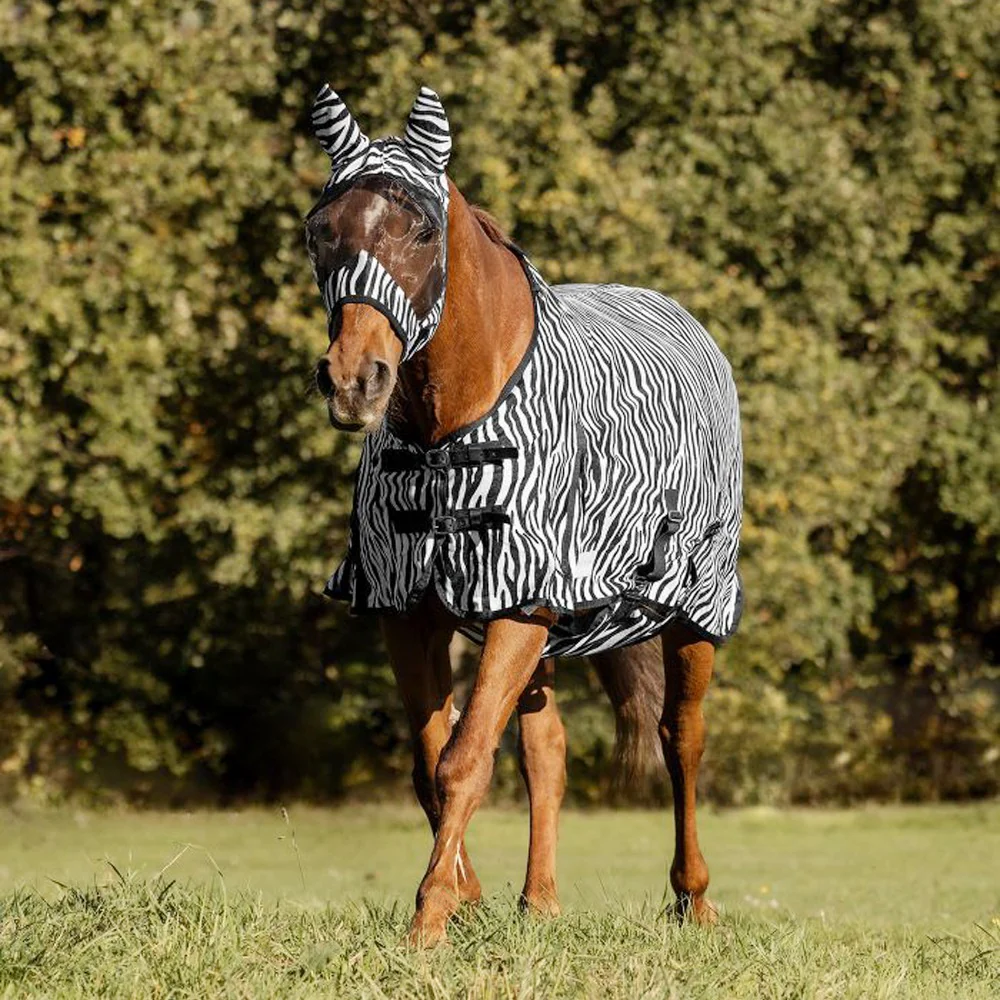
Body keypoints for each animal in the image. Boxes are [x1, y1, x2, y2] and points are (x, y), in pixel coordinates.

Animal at [304, 85, 743, 946]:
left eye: (422, 229)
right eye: (319, 231)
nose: (353, 380)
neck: (448, 434)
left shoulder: (520, 601)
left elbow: (465, 758)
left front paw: (430, 915)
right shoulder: (412, 609)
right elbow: (433, 757)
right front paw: (466, 894)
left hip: (692, 605)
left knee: (681, 739)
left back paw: (694, 898)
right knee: (548, 746)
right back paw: (539, 903)